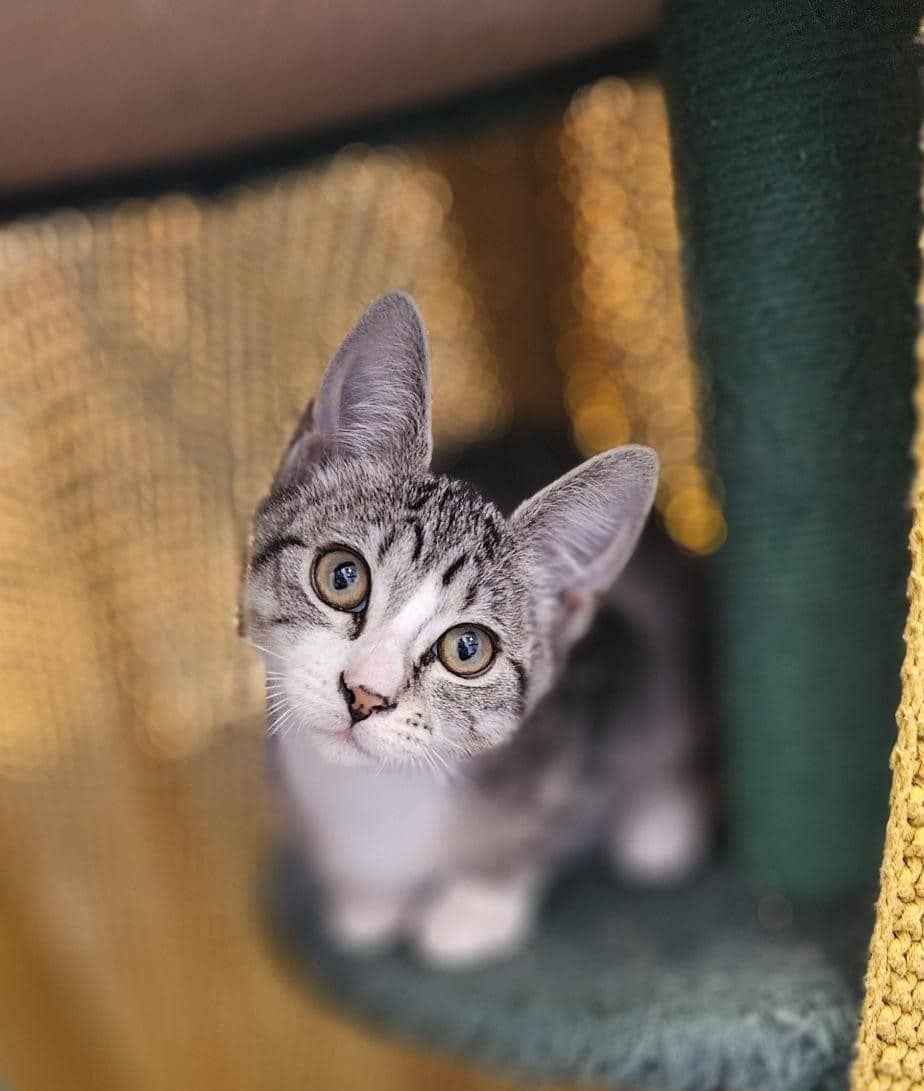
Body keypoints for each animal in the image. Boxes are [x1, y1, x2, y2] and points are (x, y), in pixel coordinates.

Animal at [241, 292, 710, 968]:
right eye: (342, 576)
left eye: (468, 649)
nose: (365, 694)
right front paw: (368, 898)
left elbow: (548, 822)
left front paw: (475, 905)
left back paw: (658, 824)